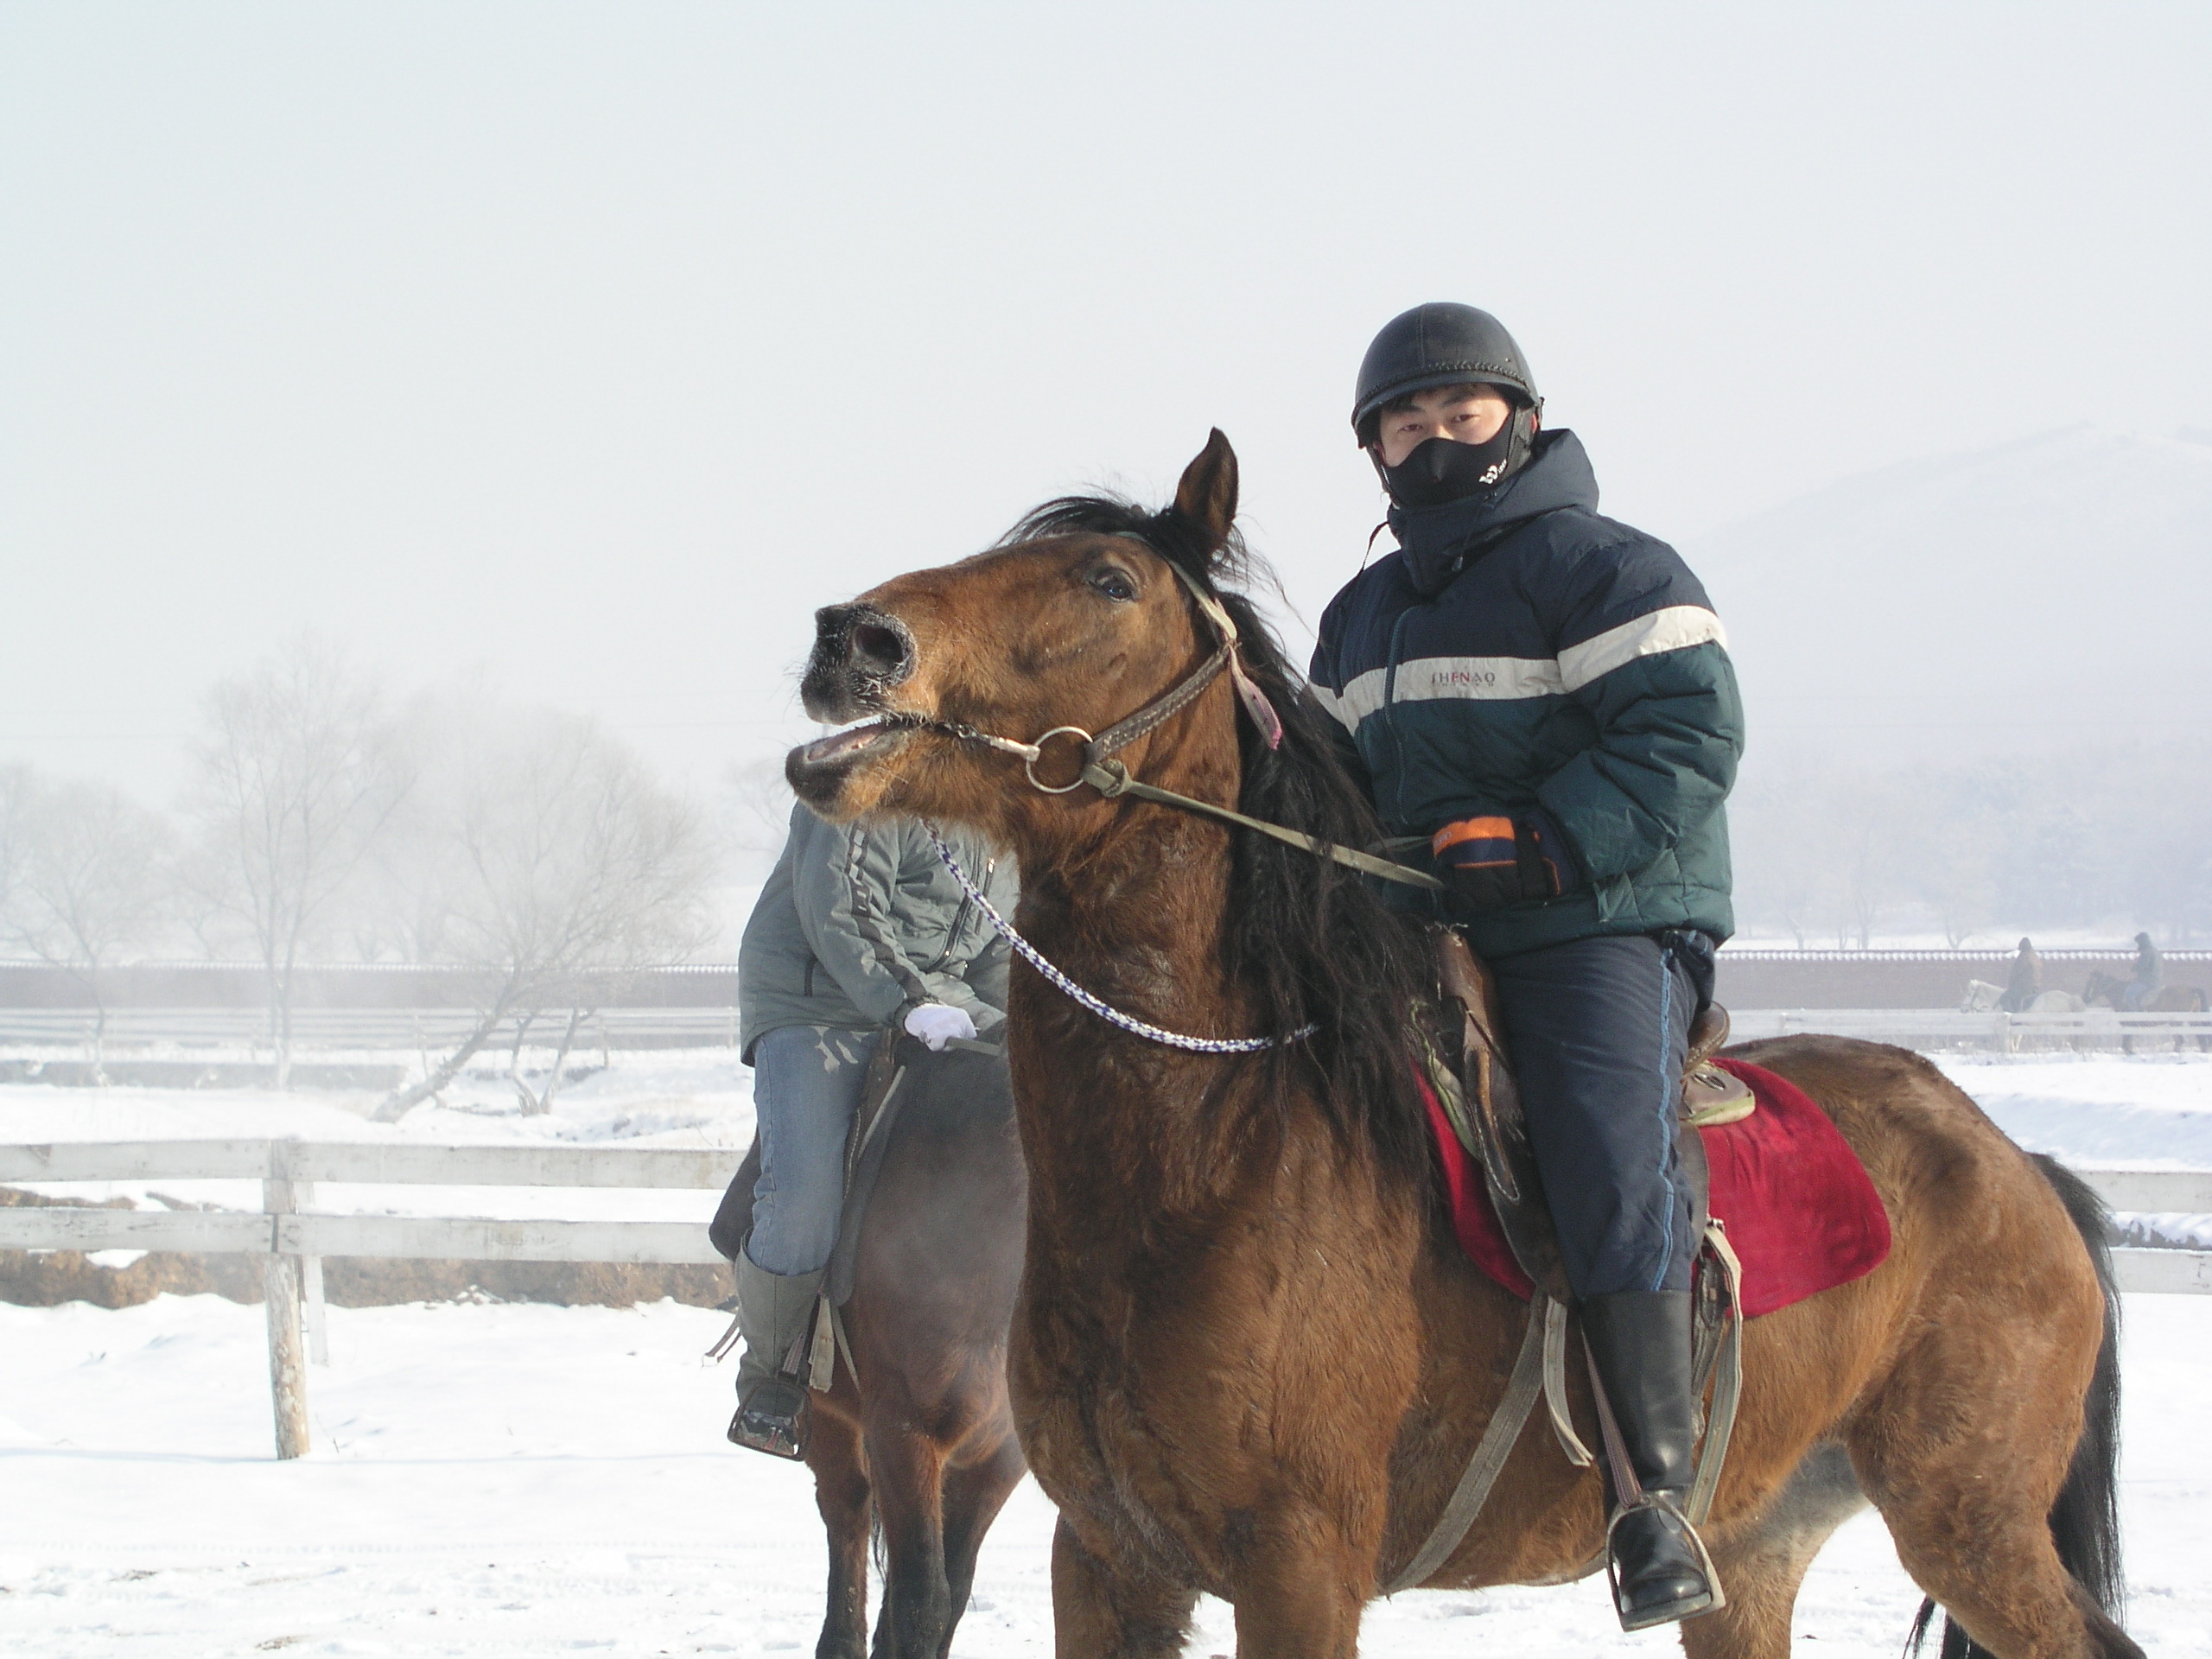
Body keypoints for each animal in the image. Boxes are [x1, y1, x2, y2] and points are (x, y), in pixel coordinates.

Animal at [783, 435, 2141, 1659]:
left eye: (1109, 579)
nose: (856, 641)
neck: (1217, 1152)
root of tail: (2019, 1167)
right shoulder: (1111, 1562)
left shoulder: (1298, 1571)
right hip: (1760, 1553)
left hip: (1970, 1524)